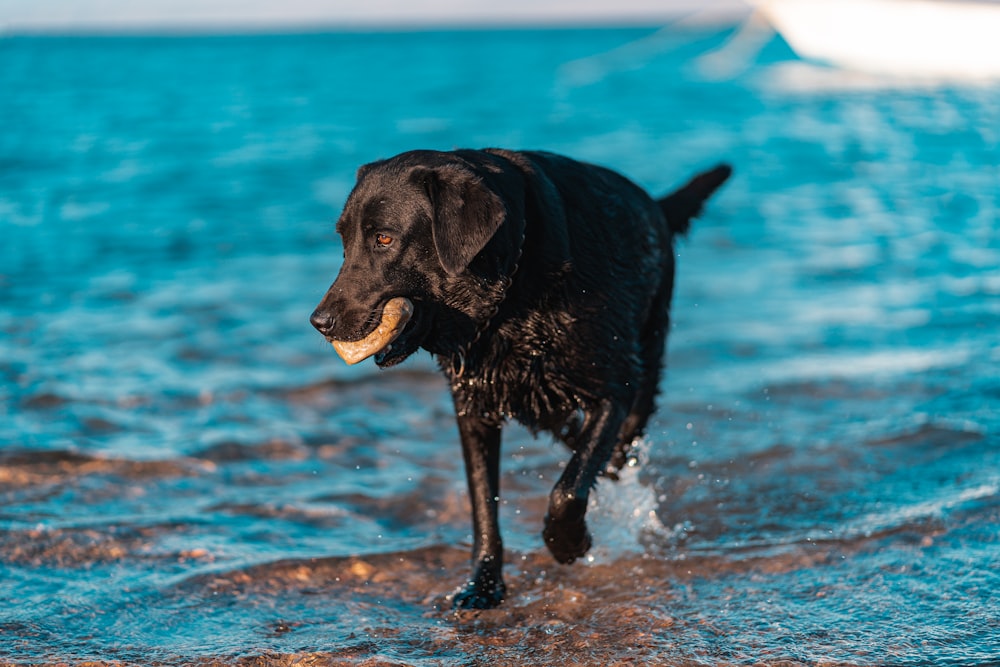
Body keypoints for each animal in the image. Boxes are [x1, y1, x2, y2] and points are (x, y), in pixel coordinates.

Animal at [308, 151, 732, 612]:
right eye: (343, 241)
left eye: (384, 239)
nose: (319, 322)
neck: (511, 300)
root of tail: (654, 205)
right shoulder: (473, 411)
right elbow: (483, 506)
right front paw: (483, 585)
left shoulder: (612, 392)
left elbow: (568, 490)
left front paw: (569, 542)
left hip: (644, 370)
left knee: (615, 447)